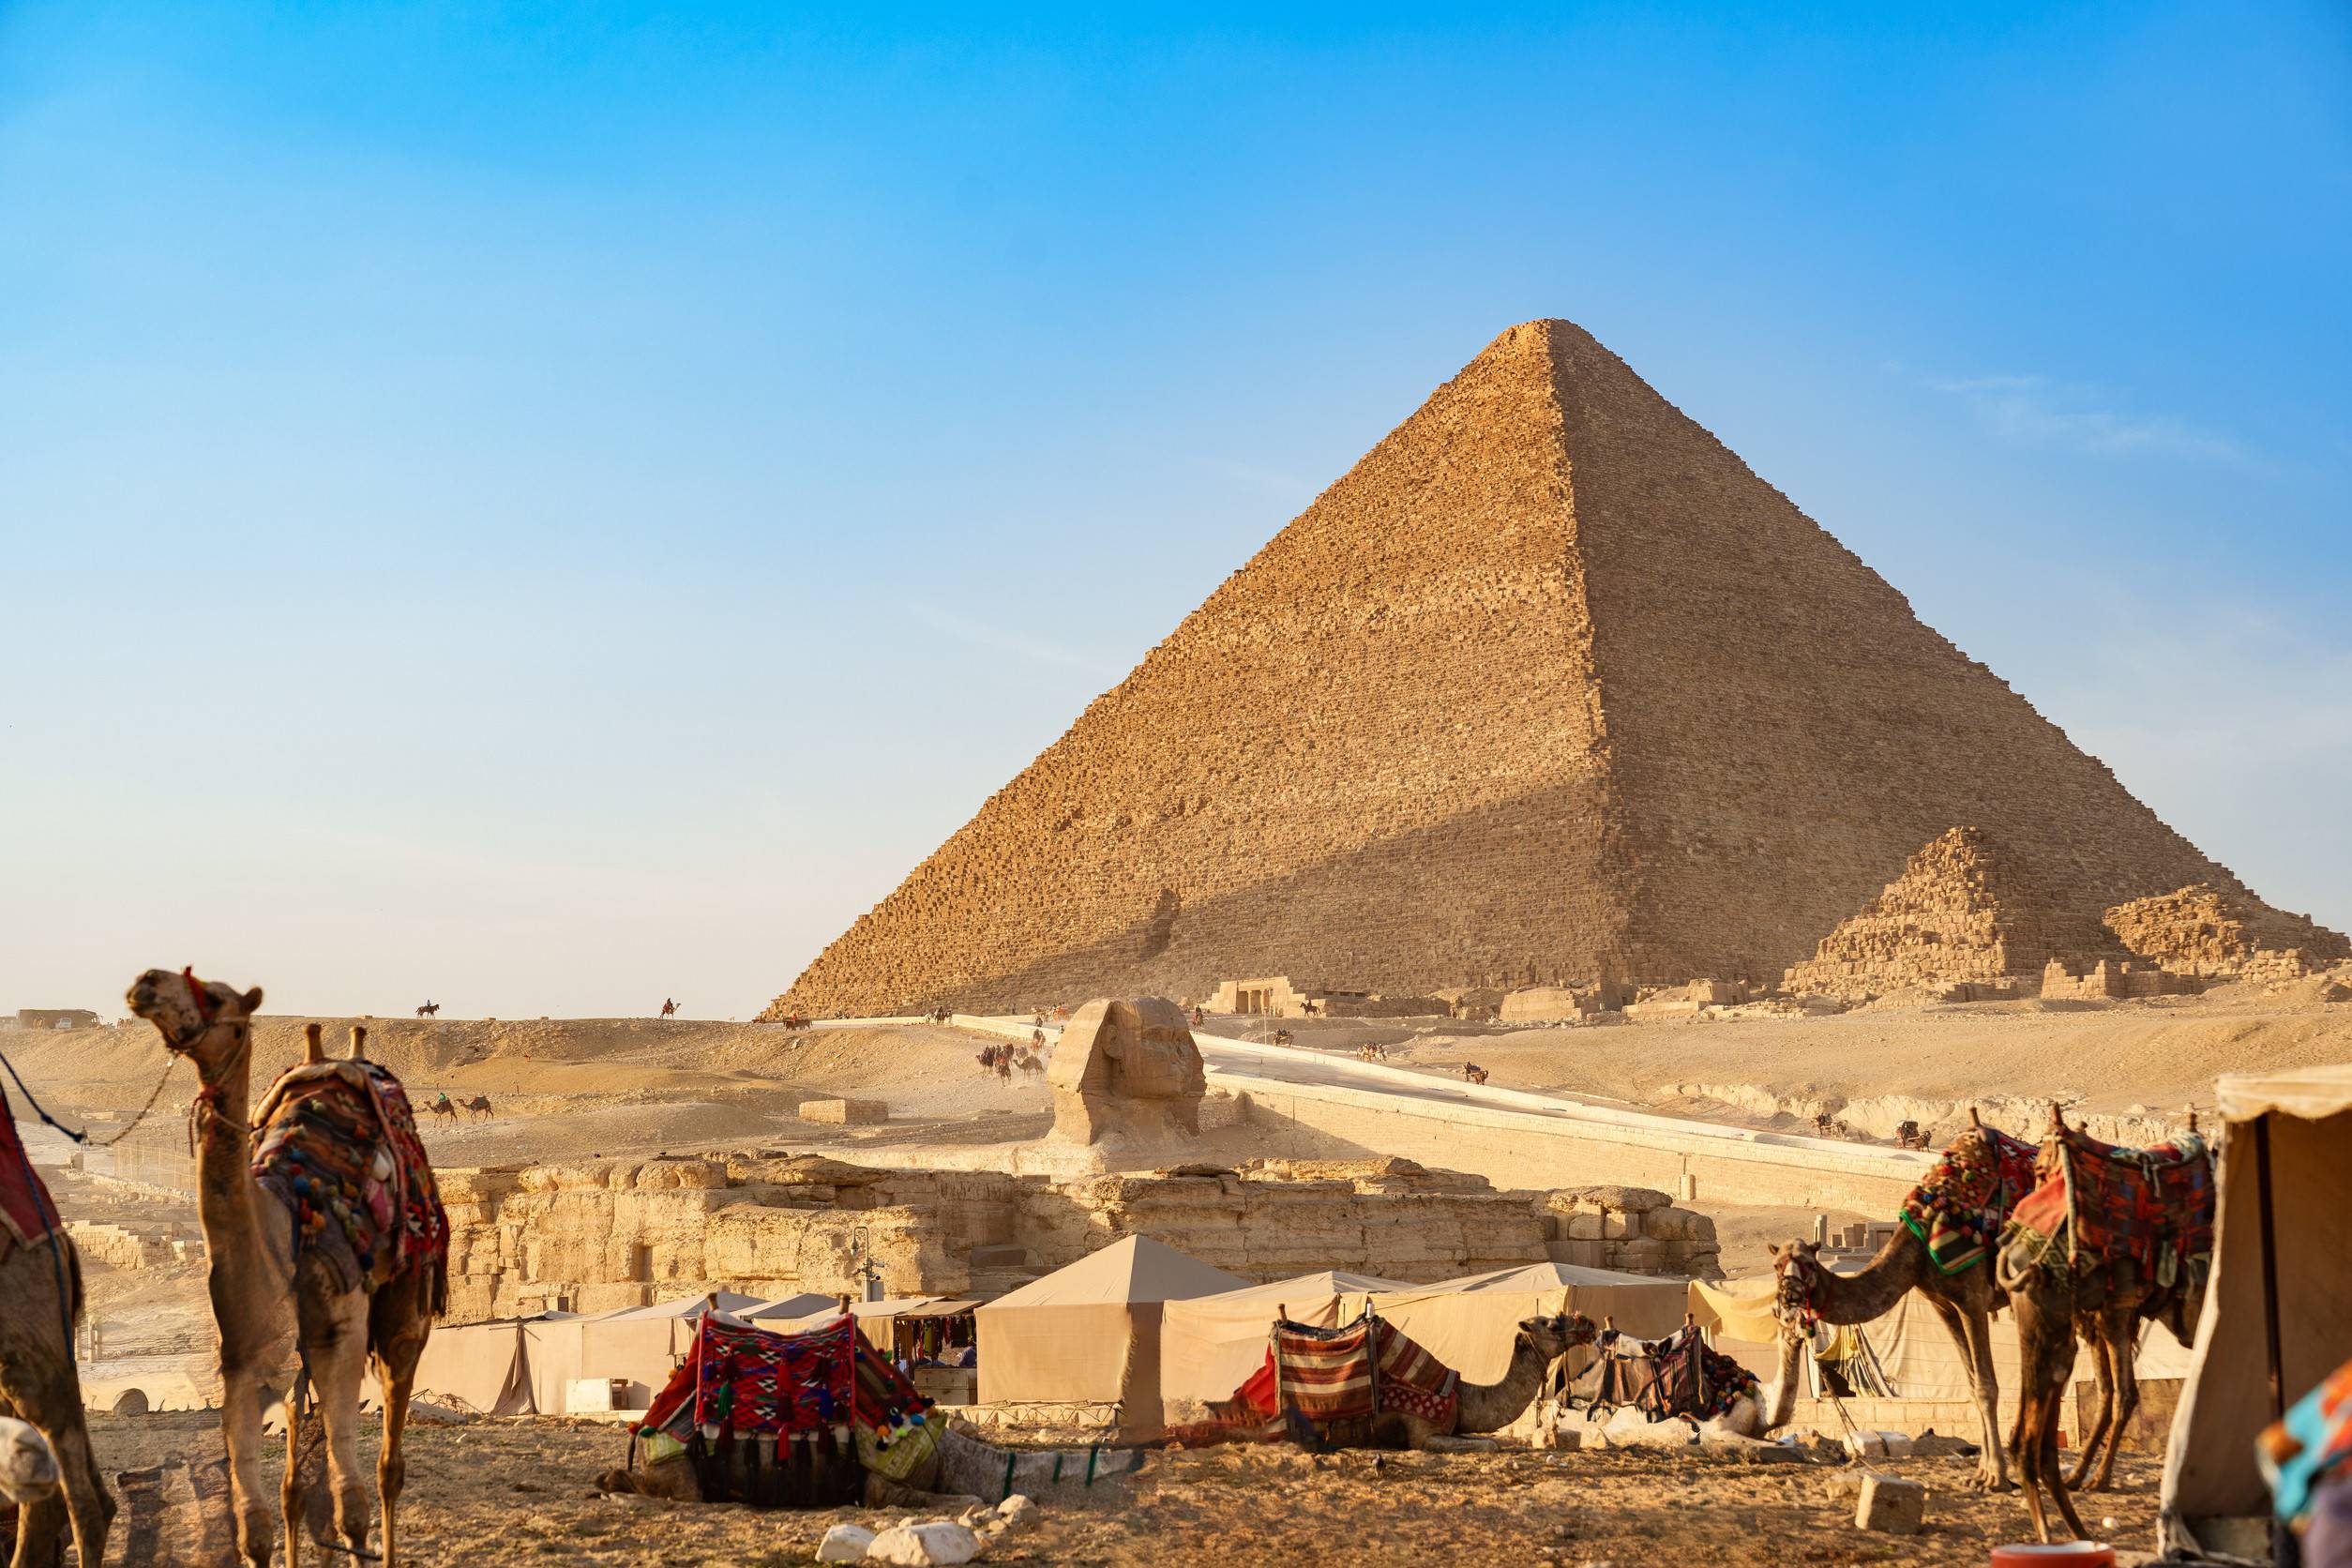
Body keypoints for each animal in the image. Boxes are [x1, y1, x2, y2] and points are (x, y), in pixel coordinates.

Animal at [126, 970, 444, 1568]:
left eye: (216, 995)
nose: (146, 983)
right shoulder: (244, 1359)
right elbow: (254, 1524)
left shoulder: (340, 1337)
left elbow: (352, 1506)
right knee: (295, 1487)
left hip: (405, 1304)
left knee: (388, 1464)